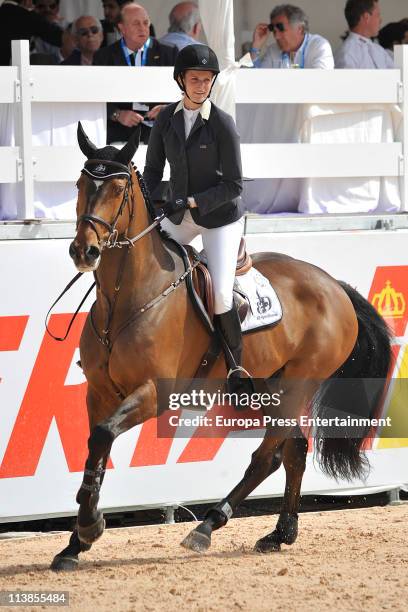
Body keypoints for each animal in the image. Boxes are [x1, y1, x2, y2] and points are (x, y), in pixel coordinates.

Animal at [51, 122, 392, 572]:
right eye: (80, 184)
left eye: (118, 188)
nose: (83, 251)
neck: (128, 297)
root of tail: (334, 285)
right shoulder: (100, 392)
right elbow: (96, 449)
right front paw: (76, 543)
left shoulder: (155, 393)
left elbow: (104, 436)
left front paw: (89, 528)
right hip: (267, 386)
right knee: (294, 450)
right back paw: (280, 533)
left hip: (298, 383)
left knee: (267, 457)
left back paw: (207, 526)